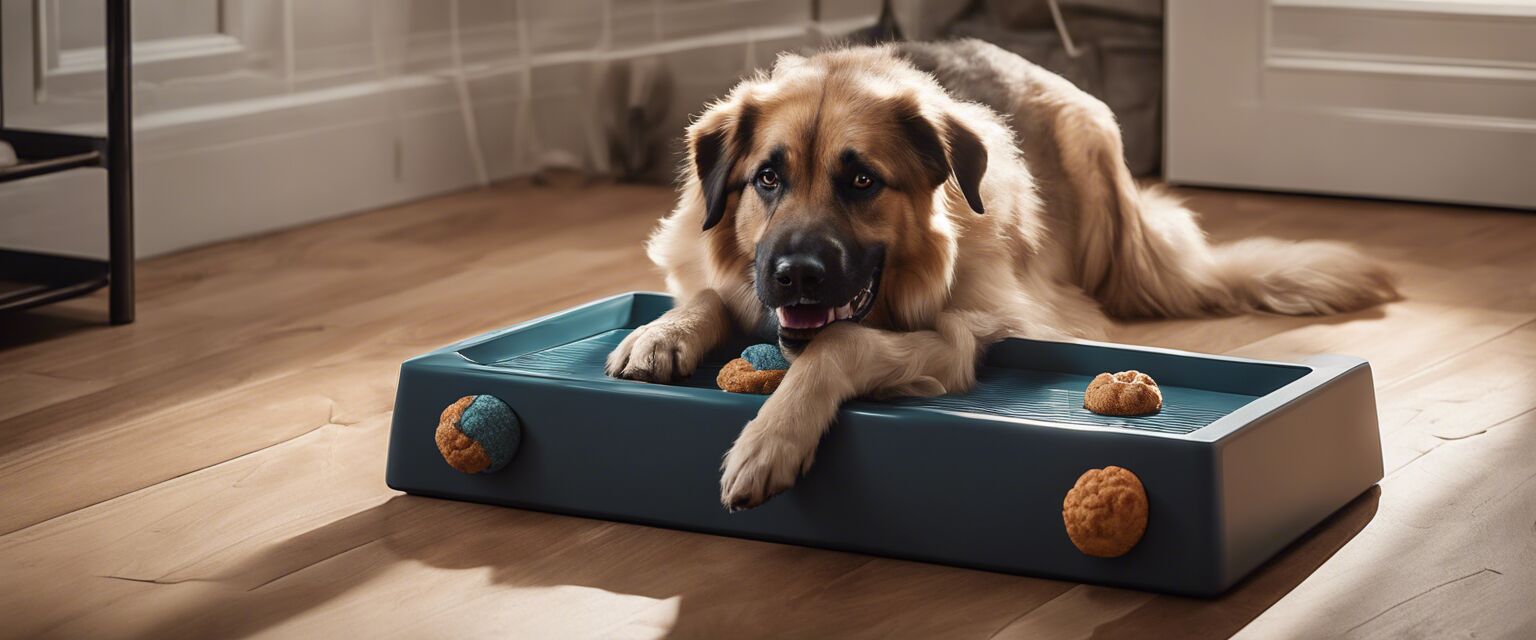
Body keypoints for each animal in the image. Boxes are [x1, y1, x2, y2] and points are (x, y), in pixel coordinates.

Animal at [605, 38, 1400, 509]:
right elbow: (711, 292)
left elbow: (840, 342)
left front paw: (771, 438)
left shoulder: (960, 337)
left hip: (1092, 152)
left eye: (861, 182)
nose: (796, 277)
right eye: (767, 178)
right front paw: (663, 333)